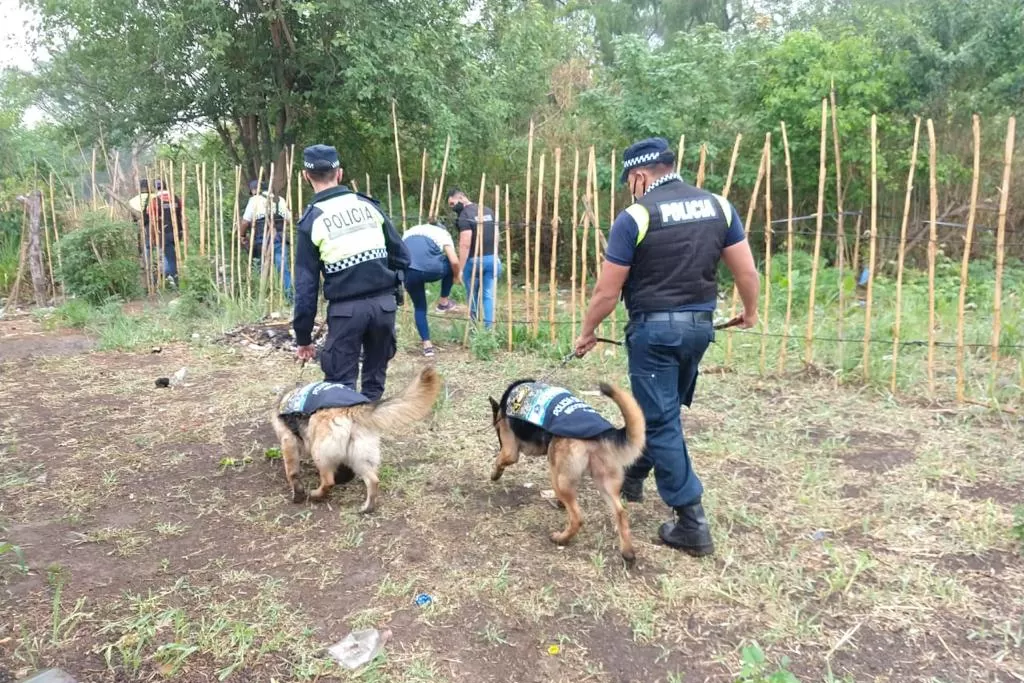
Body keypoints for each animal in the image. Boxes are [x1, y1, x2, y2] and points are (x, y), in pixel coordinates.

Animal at [270, 368, 438, 511]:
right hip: (360, 456)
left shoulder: (288, 441)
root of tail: (351, 410)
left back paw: (317, 495)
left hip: (320, 453)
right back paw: (367, 507)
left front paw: (297, 493)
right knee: (373, 480)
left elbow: (292, 473)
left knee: (328, 481)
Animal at [485, 378, 643, 561]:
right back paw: (627, 553)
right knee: (621, 512)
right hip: (604, 483)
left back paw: (561, 538)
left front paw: (495, 474)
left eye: (497, 431)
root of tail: (601, 434)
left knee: (577, 517)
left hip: (557, 476)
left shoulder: (510, 450)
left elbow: (500, 460)